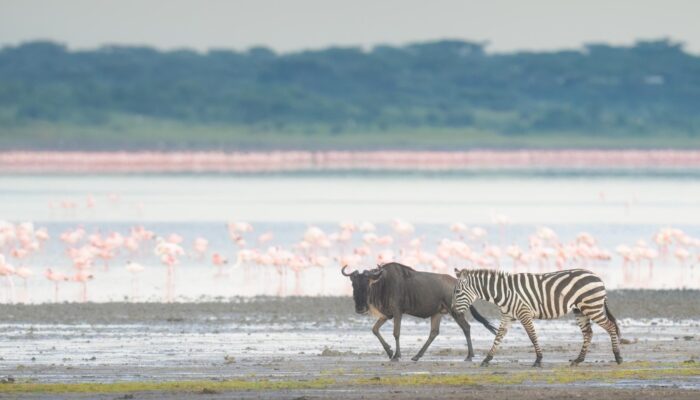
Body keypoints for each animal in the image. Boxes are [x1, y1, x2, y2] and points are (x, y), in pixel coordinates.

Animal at [452, 268, 620, 368]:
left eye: (458, 291)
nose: (453, 310)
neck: (504, 292)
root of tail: (597, 276)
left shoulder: (524, 313)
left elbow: (532, 336)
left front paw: (538, 360)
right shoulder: (507, 316)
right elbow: (498, 337)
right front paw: (487, 359)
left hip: (592, 307)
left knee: (610, 326)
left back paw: (618, 357)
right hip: (580, 310)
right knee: (588, 333)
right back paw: (578, 360)